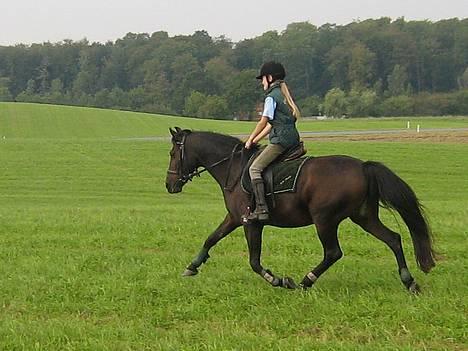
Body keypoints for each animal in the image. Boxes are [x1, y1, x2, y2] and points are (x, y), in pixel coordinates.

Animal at [164, 128, 436, 292]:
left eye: (173, 153)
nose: (169, 185)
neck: (233, 168)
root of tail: (363, 167)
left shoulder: (251, 222)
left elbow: (254, 261)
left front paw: (278, 279)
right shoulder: (235, 218)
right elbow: (211, 238)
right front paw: (192, 266)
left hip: (325, 219)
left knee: (333, 253)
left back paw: (305, 282)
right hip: (363, 217)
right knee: (394, 239)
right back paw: (409, 282)